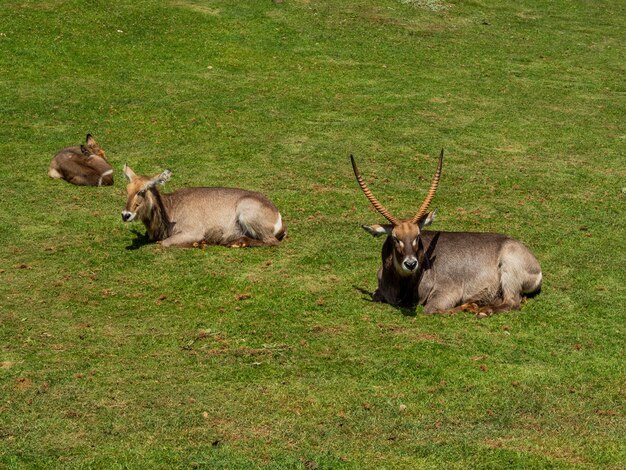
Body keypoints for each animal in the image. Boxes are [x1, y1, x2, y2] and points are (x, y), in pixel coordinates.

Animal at [121, 163, 286, 248]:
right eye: (127, 189)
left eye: (142, 191)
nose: (125, 215)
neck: (170, 209)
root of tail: (278, 217)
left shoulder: (193, 231)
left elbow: (165, 243)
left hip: (246, 213)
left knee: (271, 241)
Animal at [352, 149, 540, 316]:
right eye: (395, 237)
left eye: (417, 235)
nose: (411, 264)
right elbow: (376, 296)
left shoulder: (449, 291)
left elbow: (430, 309)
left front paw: (470, 306)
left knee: (512, 302)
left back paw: (483, 310)